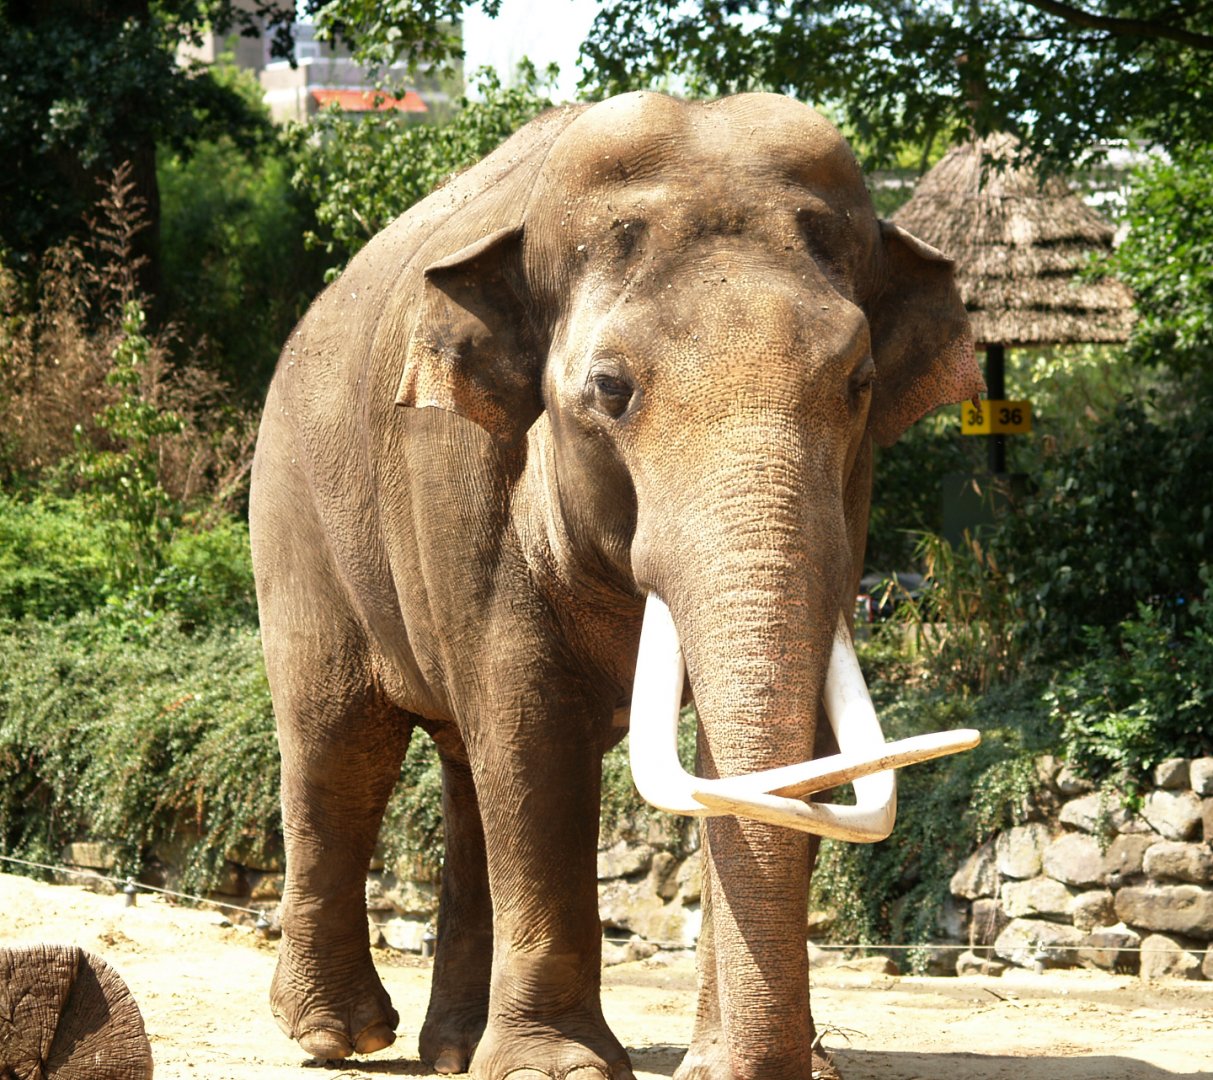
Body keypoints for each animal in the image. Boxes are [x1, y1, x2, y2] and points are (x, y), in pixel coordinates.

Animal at [249, 90, 984, 1080]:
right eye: (608, 388)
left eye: (859, 383)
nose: (768, 1066)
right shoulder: (458, 473)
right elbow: (530, 733)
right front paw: (555, 1069)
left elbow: (768, 756)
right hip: (295, 521)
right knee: (341, 747)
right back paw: (338, 1037)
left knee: (463, 768)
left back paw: (454, 1051)